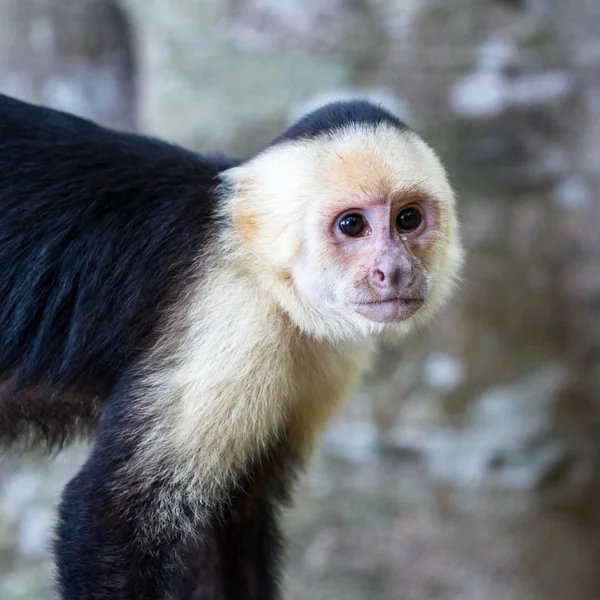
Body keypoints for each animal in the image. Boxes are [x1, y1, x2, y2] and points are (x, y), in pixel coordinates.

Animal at [0, 91, 464, 596]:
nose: (393, 271)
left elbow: (232, 516)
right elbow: (111, 518)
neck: (257, 266)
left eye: (408, 219)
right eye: (352, 226)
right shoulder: (236, 319)